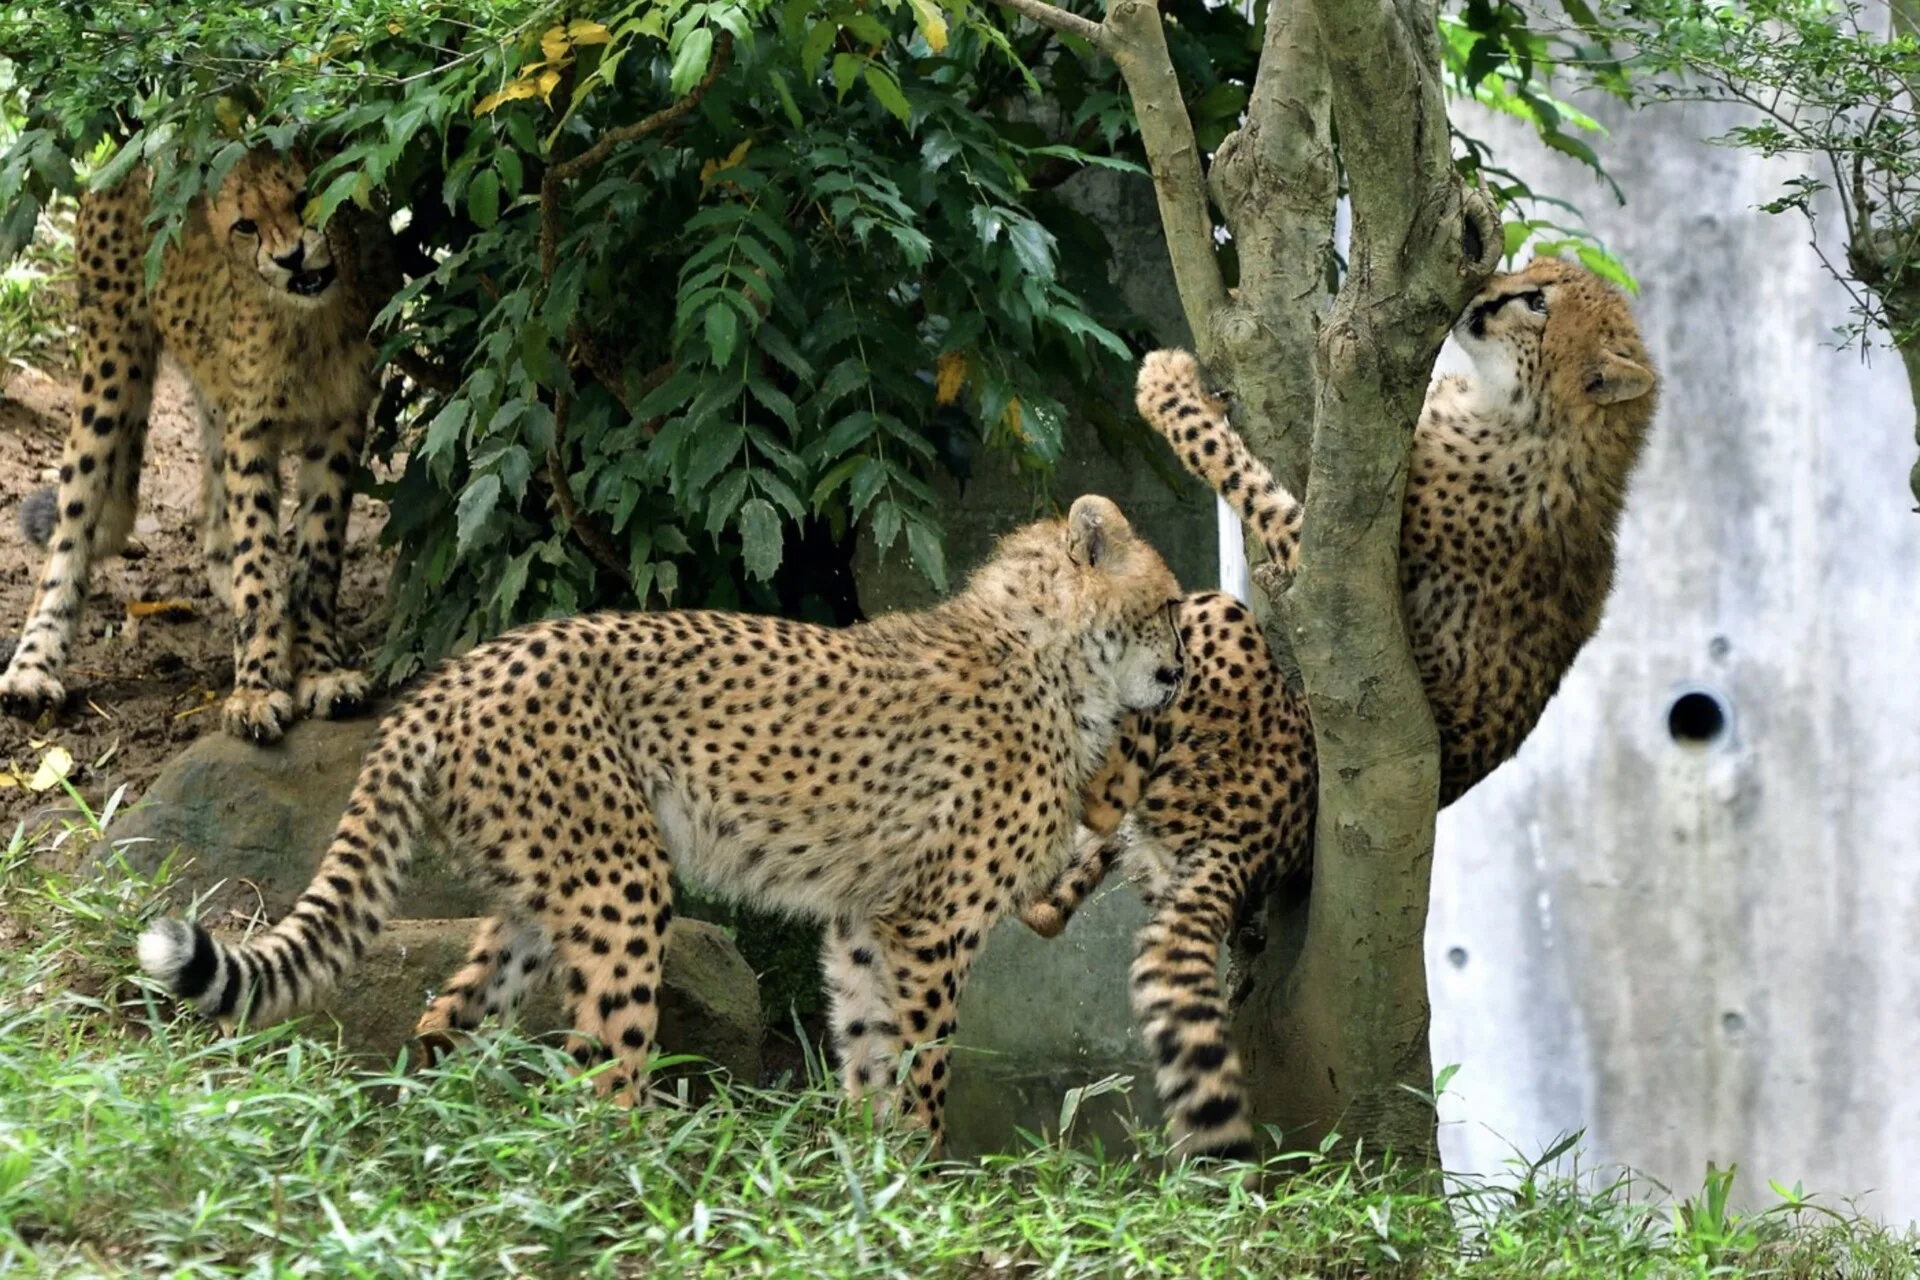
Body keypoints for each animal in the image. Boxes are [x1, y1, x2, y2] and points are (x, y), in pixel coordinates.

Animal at [0, 143, 397, 740]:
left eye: (304, 196)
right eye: (246, 225)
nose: (290, 258)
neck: (310, 321)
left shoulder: (338, 423)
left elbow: (317, 554)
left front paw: (320, 667)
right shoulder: (250, 428)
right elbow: (256, 552)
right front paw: (256, 687)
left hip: (208, 392)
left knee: (212, 517)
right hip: (113, 364)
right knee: (74, 521)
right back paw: (32, 666)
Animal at [139, 498, 1182, 1151]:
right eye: (1170, 606)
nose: (1177, 674)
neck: (1051, 654)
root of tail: (454, 675)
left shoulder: (863, 920)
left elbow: (868, 1048)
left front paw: (867, 1173)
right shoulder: (934, 924)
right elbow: (922, 1063)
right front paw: (925, 1182)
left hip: (541, 893)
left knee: (451, 1017)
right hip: (620, 882)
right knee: (603, 1075)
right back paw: (642, 1185)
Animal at [1029, 257, 1658, 1159]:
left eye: (1539, 302)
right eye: (1531, 273)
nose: (1476, 296)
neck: (1536, 423)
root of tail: (1250, 846)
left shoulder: (1331, 570)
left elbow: (1244, 473)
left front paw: (1169, 390)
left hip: (1217, 628)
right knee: (1051, 906)